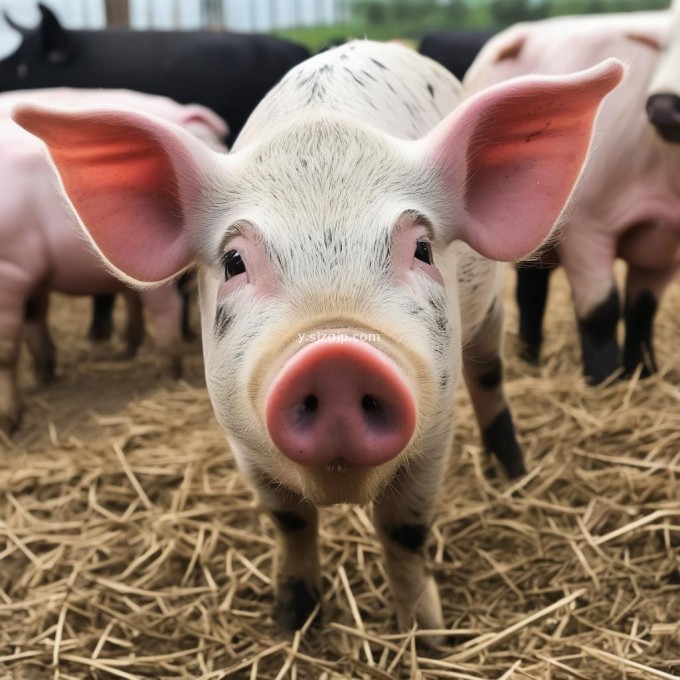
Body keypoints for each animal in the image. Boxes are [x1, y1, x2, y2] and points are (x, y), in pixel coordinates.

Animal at [0, 87, 228, 432]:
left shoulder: (11, 270)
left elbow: (6, 352)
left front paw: (9, 423)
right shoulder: (33, 277)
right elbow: (34, 323)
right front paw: (44, 376)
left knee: (167, 308)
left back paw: (165, 373)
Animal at [464, 10, 676, 386]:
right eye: (664, 46)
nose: (665, 107)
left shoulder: (665, 248)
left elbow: (642, 311)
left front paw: (644, 372)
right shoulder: (586, 227)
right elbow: (601, 310)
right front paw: (604, 380)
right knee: (530, 292)